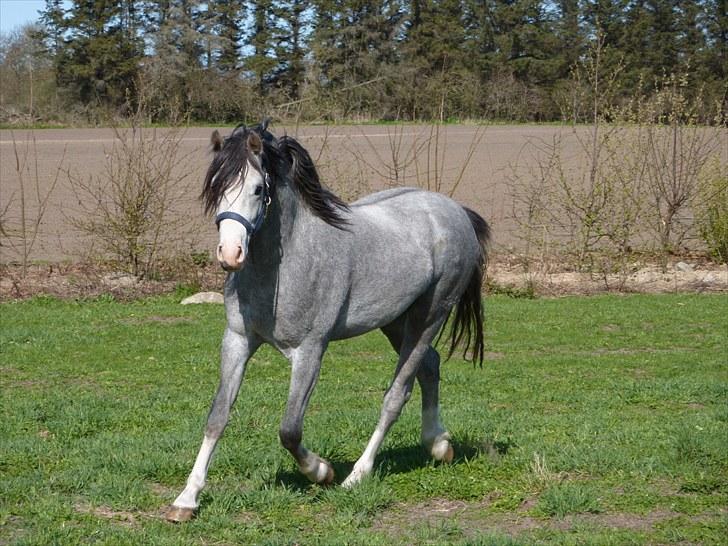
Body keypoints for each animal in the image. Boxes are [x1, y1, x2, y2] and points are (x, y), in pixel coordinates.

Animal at [166, 121, 490, 522]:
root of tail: (456, 210)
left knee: (396, 395)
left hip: (429, 317)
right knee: (430, 367)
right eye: (215, 187)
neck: (284, 264)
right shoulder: (238, 340)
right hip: (396, 321)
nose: (230, 254)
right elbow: (217, 416)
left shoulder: (310, 351)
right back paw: (439, 445)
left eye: (258, 189)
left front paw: (321, 471)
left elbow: (289, 429)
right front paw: (186, 499)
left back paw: (357, 475)